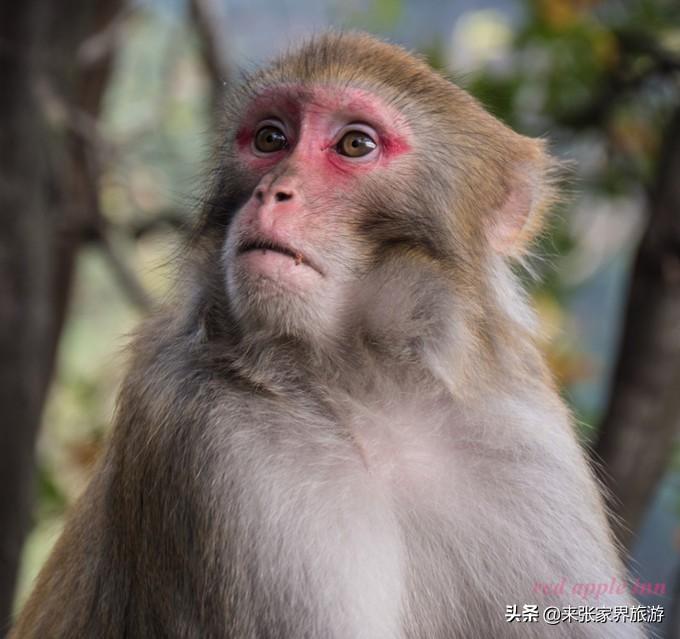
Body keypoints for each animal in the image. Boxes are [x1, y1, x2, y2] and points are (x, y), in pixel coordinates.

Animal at [11, 33, 648, 639]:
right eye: (270, 138)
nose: (272, 192)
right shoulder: (214, 443)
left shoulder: (524, 443)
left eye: (355, 145)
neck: (371, 391)